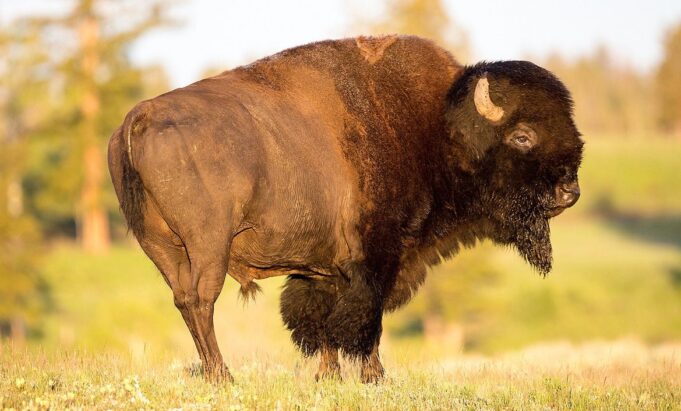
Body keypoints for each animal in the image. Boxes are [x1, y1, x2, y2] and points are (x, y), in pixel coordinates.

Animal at [108, 35, 583, 383]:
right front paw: (374, 376)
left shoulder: (322, 268)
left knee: (184, 300)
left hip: (160, 247)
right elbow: (365, 317)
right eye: (522, 135)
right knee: (201, 300)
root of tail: (139, 118)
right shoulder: (379, 256)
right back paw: (223, 377)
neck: (437, 127)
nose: (569, 193)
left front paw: (329, 376)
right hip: (209, 245)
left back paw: (215, 373)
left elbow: (320, 319)